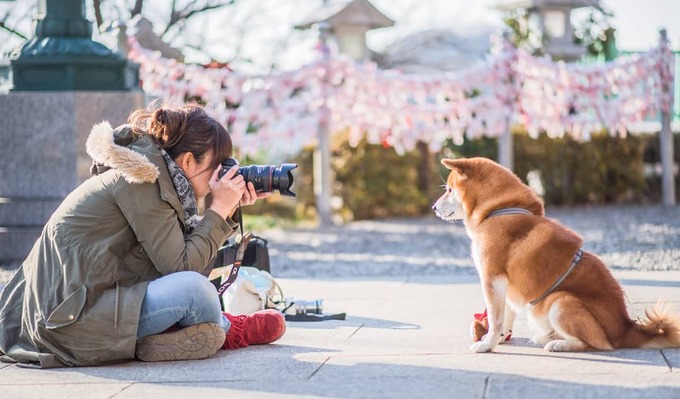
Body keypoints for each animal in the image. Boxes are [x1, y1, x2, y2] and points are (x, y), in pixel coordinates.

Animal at [432, 159, 676, 354]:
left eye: (450, 190)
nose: (433, 207)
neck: (498, 210)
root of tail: (626, 327)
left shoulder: (492, 279)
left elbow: (495, 319)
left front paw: (487, 344)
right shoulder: (504, 285)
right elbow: (506, 317)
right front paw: (498, 339)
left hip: (561, 301)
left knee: (598, 344)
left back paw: (560, 344)